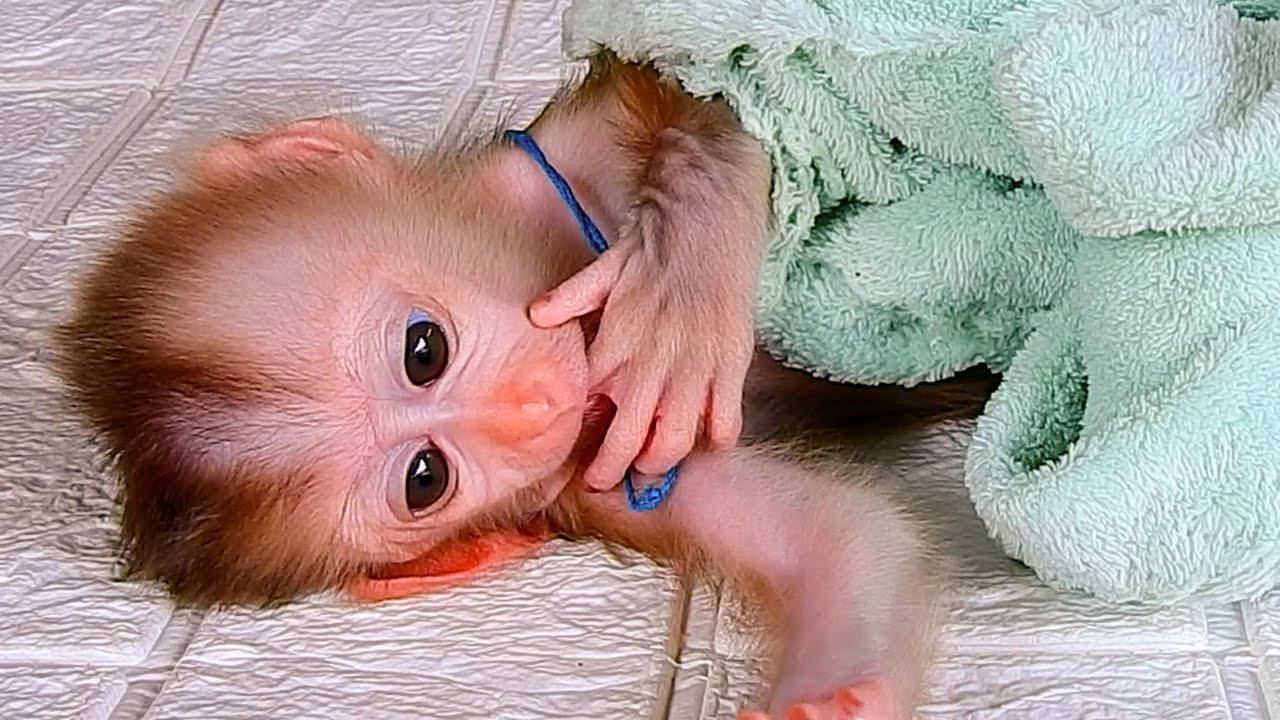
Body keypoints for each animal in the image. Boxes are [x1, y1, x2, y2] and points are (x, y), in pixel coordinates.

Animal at [52, 52, 998, 719]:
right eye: (425, 479)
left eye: (423, 349)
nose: (531, 408)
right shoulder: (603, 474)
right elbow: (840, 536)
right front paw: (831, 698)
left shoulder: (570, 152)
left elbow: (707, 77)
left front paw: (686, 266)